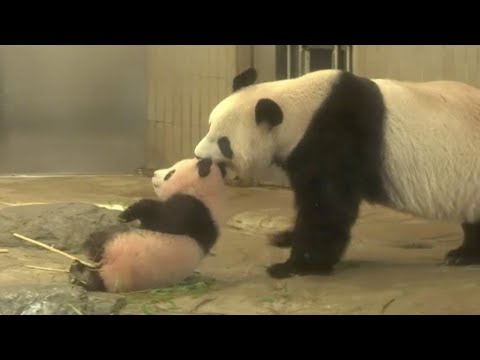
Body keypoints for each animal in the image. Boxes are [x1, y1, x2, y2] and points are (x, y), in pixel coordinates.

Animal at [193, 68, 480, 282]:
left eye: (224, 142)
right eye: (209, 126)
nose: (198, 158)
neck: (300, 109)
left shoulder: (336, 135)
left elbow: (327, 206)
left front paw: (295, 265)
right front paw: (284, 237)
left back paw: (461, 256)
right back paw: (463, 254)